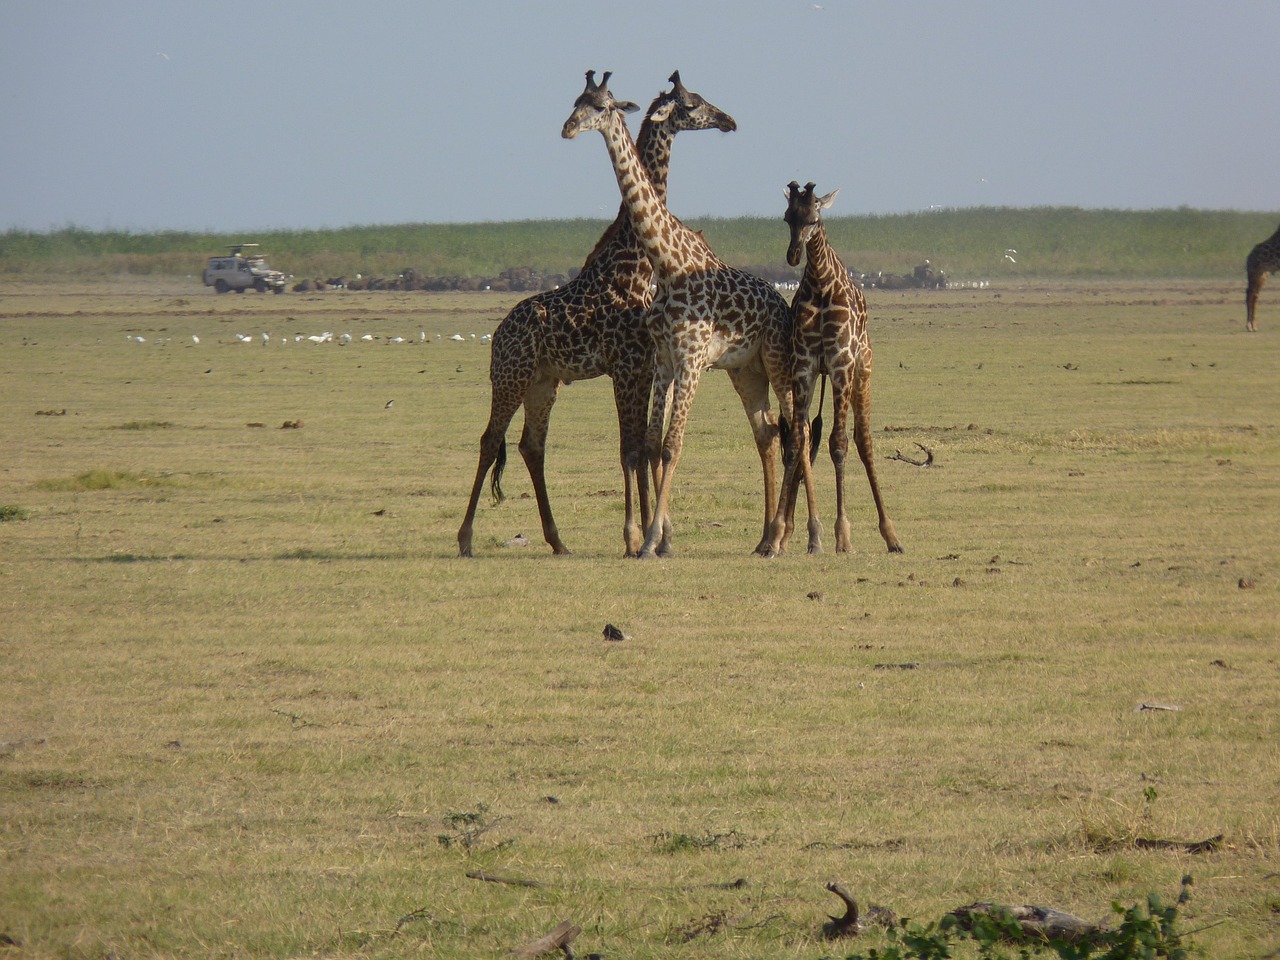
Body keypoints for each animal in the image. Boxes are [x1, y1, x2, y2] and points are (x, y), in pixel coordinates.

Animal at [460, 75, 742, 560]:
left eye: (600, 104)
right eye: (693, 103)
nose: (727, 120)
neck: (634, 262)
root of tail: (498, 334)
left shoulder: (644, 365)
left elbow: (644, 445)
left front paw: (655, 537)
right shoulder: (627, 366)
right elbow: (631, 448)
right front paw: (636, 538)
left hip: (543, 382)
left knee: (531, 446)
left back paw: (558, 540)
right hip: (511, 376)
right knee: (490, 440)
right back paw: (466, 539)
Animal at [563, 71, 793, 560]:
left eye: (602, 106)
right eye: (576, 103)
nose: (728, 120)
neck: (666, 263)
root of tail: (782, 304)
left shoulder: (689, 361)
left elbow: (669, 446)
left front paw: (653, 539)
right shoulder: (665, 361)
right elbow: (652, 444)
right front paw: (656, 539)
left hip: (777, 364)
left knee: (794, 431)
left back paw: (793, 536)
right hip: (746, 372)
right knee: (770, 435)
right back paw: (770, 537)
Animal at [757, 181, 901, 555]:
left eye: (814, 218)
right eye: (787, 217)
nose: (794, 255)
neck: (822, 285)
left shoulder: (839, 363)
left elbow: (839, 444)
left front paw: (843, 536)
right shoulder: (805, 366)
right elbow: (795, 443)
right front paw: (777, 534)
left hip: (862, 372)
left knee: (863, 440)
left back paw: (892, 536)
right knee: (807, 436)